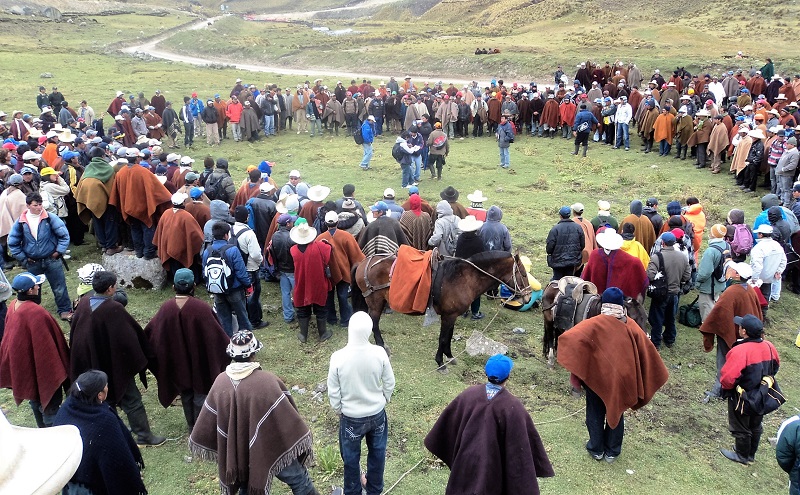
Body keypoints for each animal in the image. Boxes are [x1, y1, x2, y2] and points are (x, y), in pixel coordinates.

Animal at [352, 252, 532, 368]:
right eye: (523, 274)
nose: (528, 297)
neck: (464, 278)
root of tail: (363, 262)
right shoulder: (448, 316)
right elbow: (443, 338)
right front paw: (440, 361)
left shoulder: (452, 316)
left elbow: (449, 336)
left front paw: (450, 356)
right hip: (375, 302)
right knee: (374, 323)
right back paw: (382, 346)